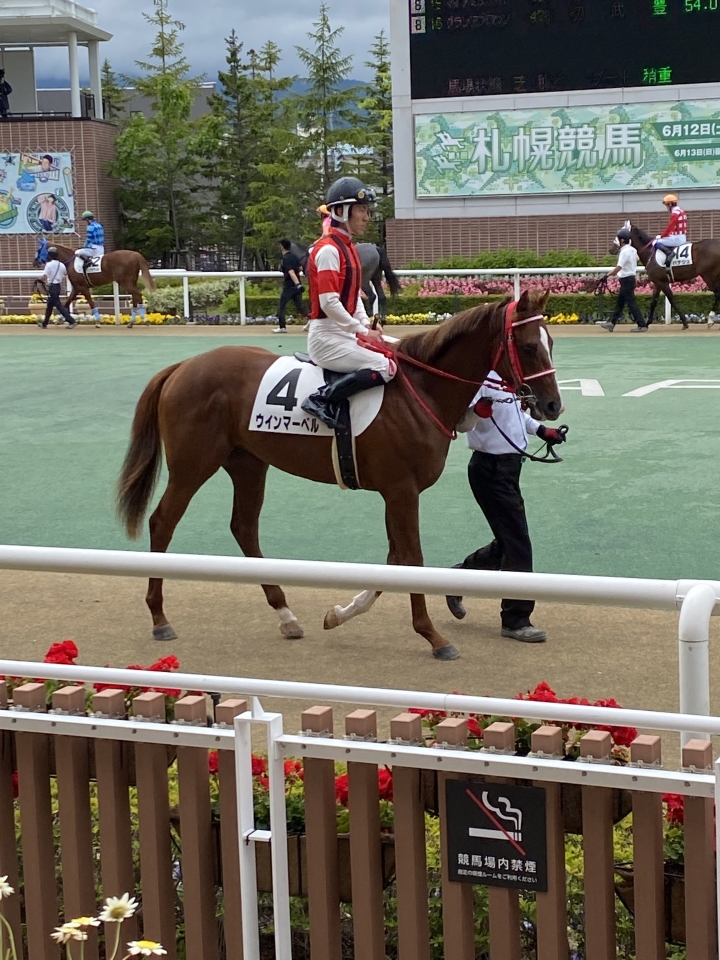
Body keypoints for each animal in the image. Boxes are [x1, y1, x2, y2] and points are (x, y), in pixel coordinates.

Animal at [118, 286, 560, 660]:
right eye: (527, 346)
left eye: (551, 343)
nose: (553, 405)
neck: (421, 390)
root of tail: (182, 366)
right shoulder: (402, 491)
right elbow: (411, 558)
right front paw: (434, 636)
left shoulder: (394, 492)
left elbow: (394, 559)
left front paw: (341, 613)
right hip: (193, 465)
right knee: (163, 522)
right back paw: (159, 618)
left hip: (247, 462)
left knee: (243, 528)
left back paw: (286, 615)